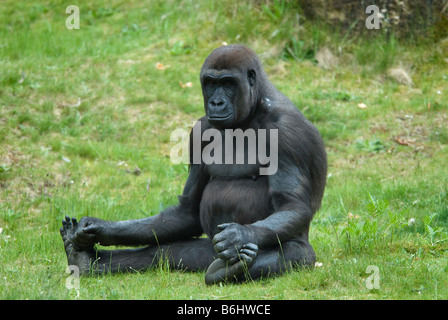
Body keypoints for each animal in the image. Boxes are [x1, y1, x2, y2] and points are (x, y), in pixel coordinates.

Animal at [60, 43, 326, 284]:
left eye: (228, 83)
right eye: (211, 83)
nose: (216, 103)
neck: (254, 107)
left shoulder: (286, 131)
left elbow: (291, 205)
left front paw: (239, 235)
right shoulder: (200, 131)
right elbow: (188, 210)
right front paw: (101, 228)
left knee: (293, 252)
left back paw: (224, 270)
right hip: (207, 250)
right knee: (163, 252)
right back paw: (86, 261)